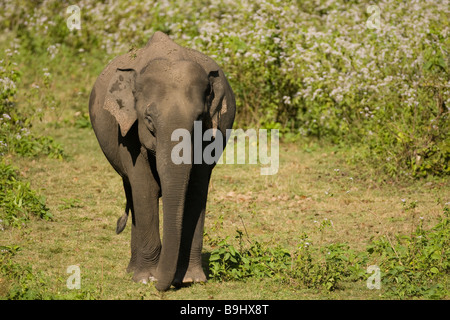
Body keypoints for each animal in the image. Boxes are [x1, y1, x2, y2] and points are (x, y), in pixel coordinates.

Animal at [88, 31, 236, 290]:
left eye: (200, 118)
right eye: (148, 118)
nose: (162, 284)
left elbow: (196, 188)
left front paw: (191, 279)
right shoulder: (128, 132)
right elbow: (145, 187)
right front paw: (147, 279)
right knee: (134, 192)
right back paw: (133, 272)